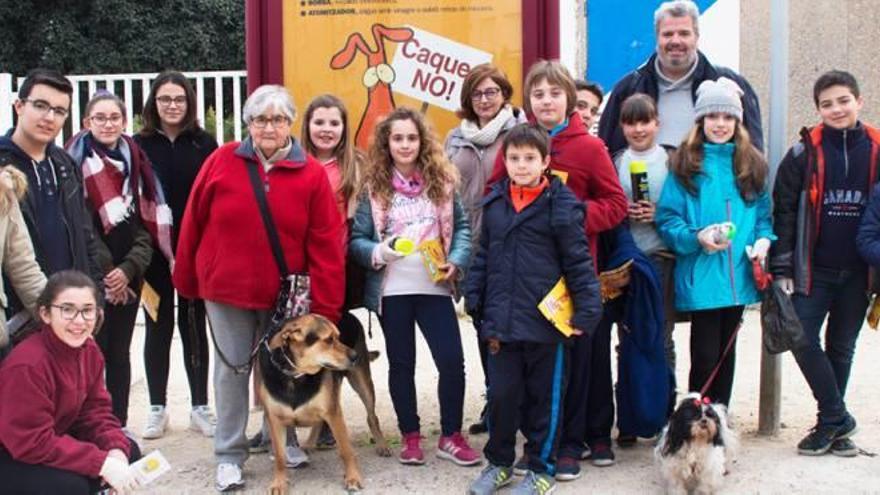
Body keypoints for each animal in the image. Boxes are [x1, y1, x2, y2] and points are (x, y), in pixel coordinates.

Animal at [256, 316, 390, 494]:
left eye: (338, 337)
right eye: (328, 340)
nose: (355, 356)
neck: (295, 376)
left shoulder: (333, 413)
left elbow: (346, 451)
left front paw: (353, 478)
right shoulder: (274, 419)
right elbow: (279, 457)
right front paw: (279, 483)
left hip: (362, 383)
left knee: (372, 417)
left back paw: (382, 445)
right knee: (319, 422)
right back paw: (309, 444)